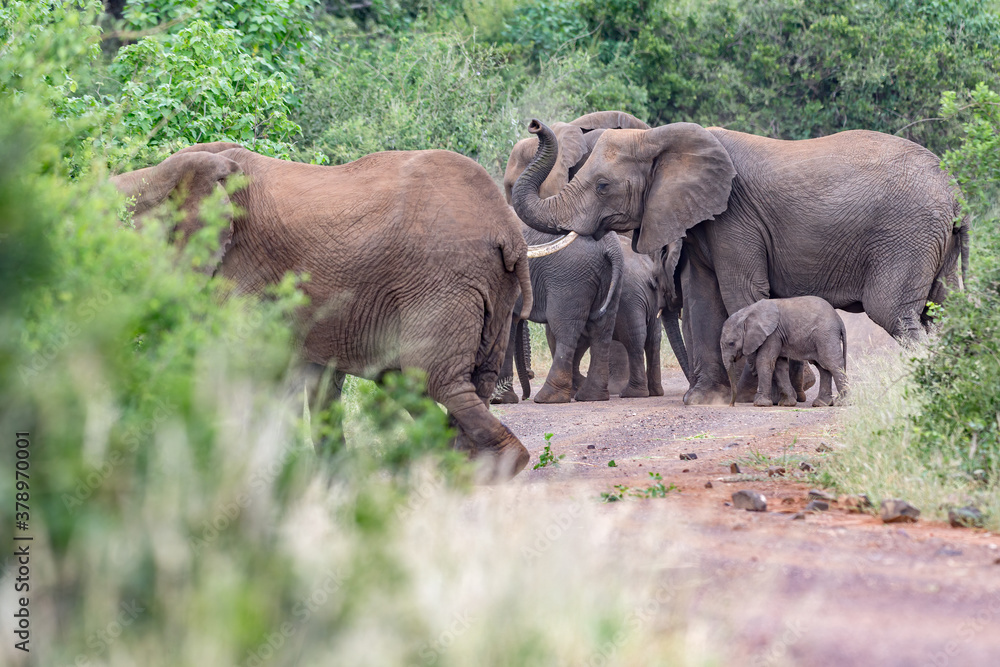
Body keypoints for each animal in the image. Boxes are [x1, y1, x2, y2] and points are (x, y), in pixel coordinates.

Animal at [114, 142, 548, 480]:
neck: (159, 172)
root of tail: (506, 229)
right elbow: (312, 380)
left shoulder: (245, 272)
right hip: (492, 286)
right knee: (465, 380)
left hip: (445, 279)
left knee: (435, 381)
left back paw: (491, 467)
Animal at [512, 118, 964, 408]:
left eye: (603, 186)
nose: (534, 124)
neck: (661, 138)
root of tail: (956, 193)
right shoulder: (703, 222)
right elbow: (703, 297)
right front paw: (704, 400)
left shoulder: (734, 216)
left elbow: (739, 293)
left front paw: (750, 397)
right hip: (935, 245)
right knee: (941, 313)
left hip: (908, 236)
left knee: (896, 314)